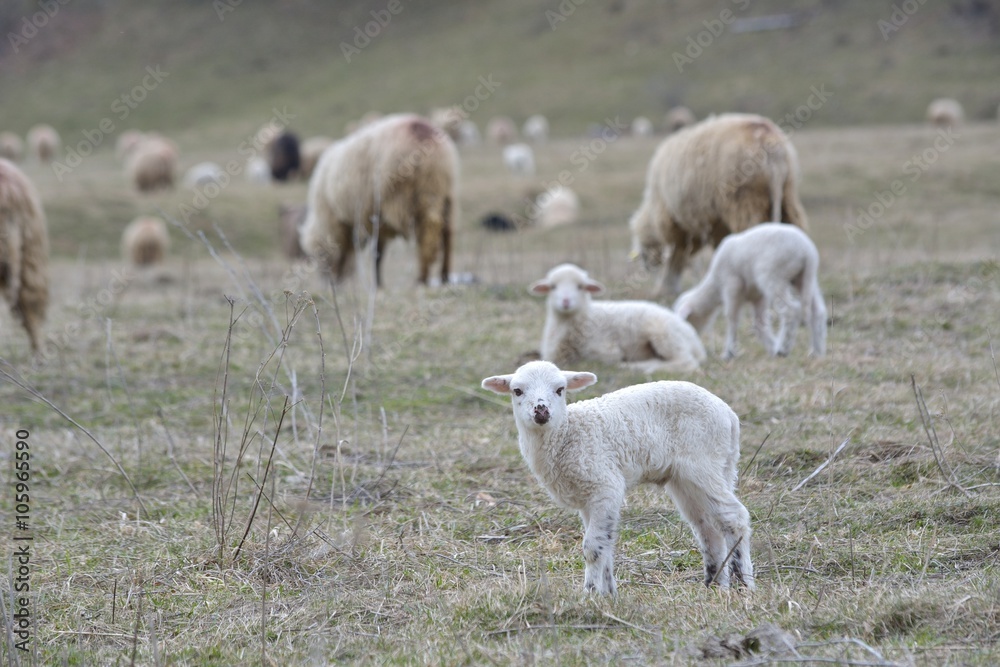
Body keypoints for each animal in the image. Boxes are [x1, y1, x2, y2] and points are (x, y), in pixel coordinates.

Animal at [299, 113, 458, 287]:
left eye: (320, 257)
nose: (327, 284)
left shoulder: (357, 219)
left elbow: (375, 253)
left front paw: (377, 283)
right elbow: (376, 251)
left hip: (415, 197)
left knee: (427, 233)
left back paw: (422, 277)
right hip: (445, 194)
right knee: (447, 234)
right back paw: (444, 275)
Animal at [481, 360, 754, 595]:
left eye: (560, 389)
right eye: (517, 391)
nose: (541, 410)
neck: (567, 434)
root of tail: (729, 415)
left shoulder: (605, 484)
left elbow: (592, 547)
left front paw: (590, 593)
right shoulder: (587, 498)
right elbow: (606, 544)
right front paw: (608, 593)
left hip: (703, 462)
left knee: (734, 516)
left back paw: (744, 585)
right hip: (688, 478)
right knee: (707, 527)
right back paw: (714, 586)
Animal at [530, 263, 706, 374]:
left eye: (580, 286)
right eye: (553, 287)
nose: (566, 301)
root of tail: (696, 342)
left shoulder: (605, 350)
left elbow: (600, 357)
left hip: (664, 334)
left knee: (685, 362)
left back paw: (639, 366)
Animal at [628, 112, 808, 299]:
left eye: (644, 257)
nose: (647, 270)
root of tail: (769, 140)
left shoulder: (675, 223)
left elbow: (677, 257)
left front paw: (666, 288)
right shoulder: (711, 223)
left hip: (744, 200)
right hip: (787, 195)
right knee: (796, 228)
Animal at [673, 223, 826, 359]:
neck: (716, 284)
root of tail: (807, 252)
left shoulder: (732, 285)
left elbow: (732, 318)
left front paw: (728, 353)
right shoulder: (758, 296)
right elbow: (759, 324)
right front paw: (771, 347)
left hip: (773, 275)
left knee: (791, 310)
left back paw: (783, 348)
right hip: (803, 278)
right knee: (817, 311)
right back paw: (816, 351)